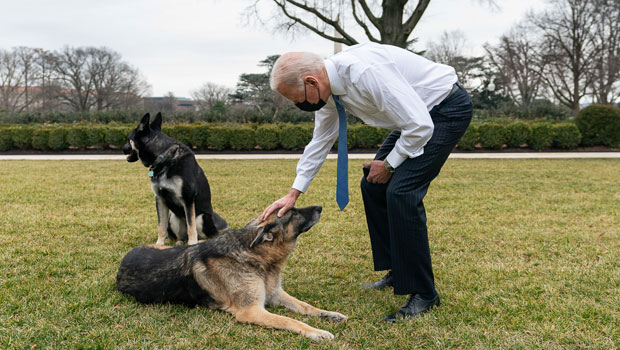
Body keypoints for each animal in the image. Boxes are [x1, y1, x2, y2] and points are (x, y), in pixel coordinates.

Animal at [115, 205, 346, 342]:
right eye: (294, 212)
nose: (320, 207)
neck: (254, 254)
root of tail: (123, 262)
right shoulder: (251, 311)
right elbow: (290, 320)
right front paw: (316, 332)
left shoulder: (275, 294)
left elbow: (306, 307)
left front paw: (330, 314)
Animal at [122, 113, 226, 245]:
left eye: (128, 139)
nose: (122, 148)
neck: (163, 157)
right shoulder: (160, 199)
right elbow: (161, 226)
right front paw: (159, 244)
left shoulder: (188, 199)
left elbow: (191, 226)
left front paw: (192, 244)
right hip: (173, 217)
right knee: (181, 236)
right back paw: (180, 242)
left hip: (201, 218)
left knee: (206, 235)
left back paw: (198, 241)